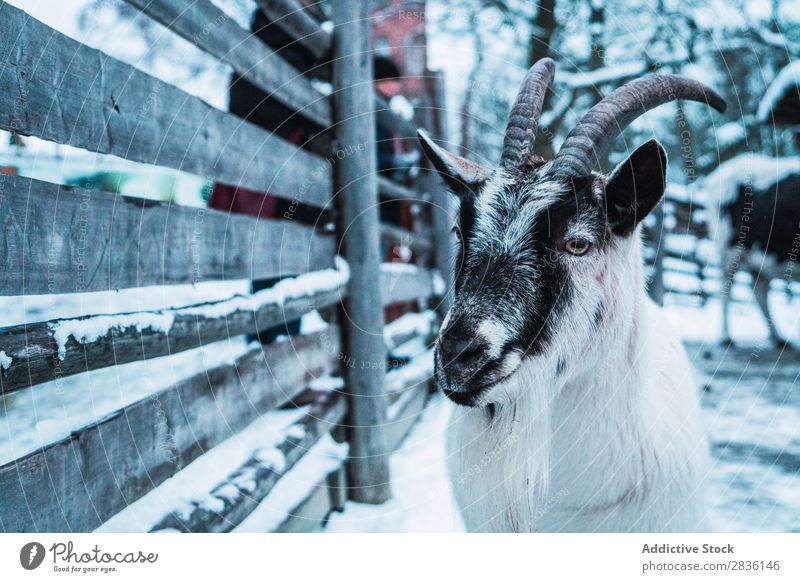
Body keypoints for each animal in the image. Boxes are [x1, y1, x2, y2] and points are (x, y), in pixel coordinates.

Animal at [708, 153, 800, 350]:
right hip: (727, 250)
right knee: (725, 289)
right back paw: (726, 337)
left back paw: (778, 338)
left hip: (760, 258)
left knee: (760, 290)